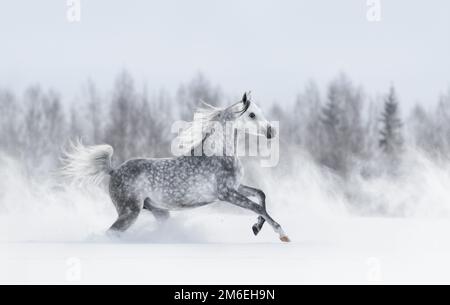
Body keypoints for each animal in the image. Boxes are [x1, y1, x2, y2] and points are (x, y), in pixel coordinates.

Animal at [61, 92, 290, 242]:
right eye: (251, 115)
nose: (271, 132)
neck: (219, 152)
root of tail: (114, 170)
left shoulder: (236, 187)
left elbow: (261, 195)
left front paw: (256, 227)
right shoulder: (226, 193)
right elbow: (257, 206)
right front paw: (282, 234)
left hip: (158, 212)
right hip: (130, 212)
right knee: (110, 233)